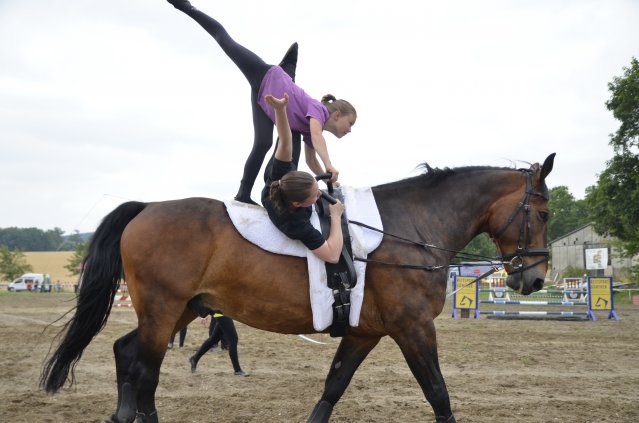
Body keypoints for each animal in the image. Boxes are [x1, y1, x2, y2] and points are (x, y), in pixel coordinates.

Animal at [41, 153, 555, 423]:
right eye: (544, 213)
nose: (534, 277)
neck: (409, 228)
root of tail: (148, 207)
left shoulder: (364, 332)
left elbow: (333, 388)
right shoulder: (412, 329)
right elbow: (438, 394)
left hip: (180, 309)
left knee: (127, 353)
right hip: (164, 311)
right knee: (144, 370)